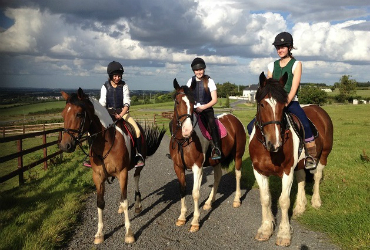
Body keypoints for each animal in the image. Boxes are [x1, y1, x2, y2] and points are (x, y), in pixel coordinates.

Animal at [58, 89, 164, 245]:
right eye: (63, 114)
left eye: (79, 114)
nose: (65, 146)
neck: (105, 143)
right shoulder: (98, 177)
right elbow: (100, 203)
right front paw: (99, 234)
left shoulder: (122, 173)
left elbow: (126, 201)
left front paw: (129, 233)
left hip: (137, 166)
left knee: (136, 178)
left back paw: (138, 205)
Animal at [170, 78, 246, 232]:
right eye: (177, 102)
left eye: (193, 103)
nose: (187, 130)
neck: (183, 141)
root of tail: (234, 119)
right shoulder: (178, 167)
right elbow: (182, 190)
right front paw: (182, 218)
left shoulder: (197, 167)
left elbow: (195, 193)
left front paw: (195, 222)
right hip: (215, 160)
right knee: (217, 177)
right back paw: (209, 203)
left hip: (238, 156)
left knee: (238, 174)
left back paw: (236, 200)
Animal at [250, 72, 334, 246]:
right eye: (262, 104)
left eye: (283, 107)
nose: (275, 143)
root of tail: (318, 108)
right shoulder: (259, 171)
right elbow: (265, 199)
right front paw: (265, 229)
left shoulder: (287, 171)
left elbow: (284, 200)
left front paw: (283, 233)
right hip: (301, 163)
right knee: (302, 178)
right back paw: (300, 207)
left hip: (323, 156)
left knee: (317, 177)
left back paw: (316, 202)